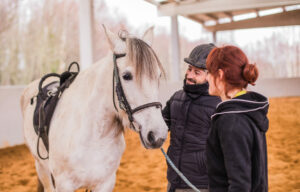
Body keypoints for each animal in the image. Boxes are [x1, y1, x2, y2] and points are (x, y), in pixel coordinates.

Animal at [20, 26, 169, 191]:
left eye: (158, 76)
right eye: (126, 76)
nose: (158, 135)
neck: (93, 136)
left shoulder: (105, 182)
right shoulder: (64, 184)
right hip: (42, 169)